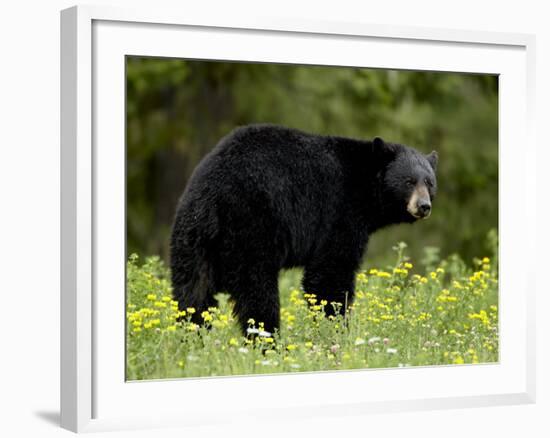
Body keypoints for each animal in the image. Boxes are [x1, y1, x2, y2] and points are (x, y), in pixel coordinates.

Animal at [170, 123, 438, 336]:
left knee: (192, 292)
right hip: (251, 228)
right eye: (409, 181)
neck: (364, 188)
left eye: (430, 182)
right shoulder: (339, 212)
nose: (424, 206)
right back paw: (268, 341)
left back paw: (192, 338)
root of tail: (212, 195)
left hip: (192, 238)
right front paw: (337, 330)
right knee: (257, 292)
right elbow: (330, 273)